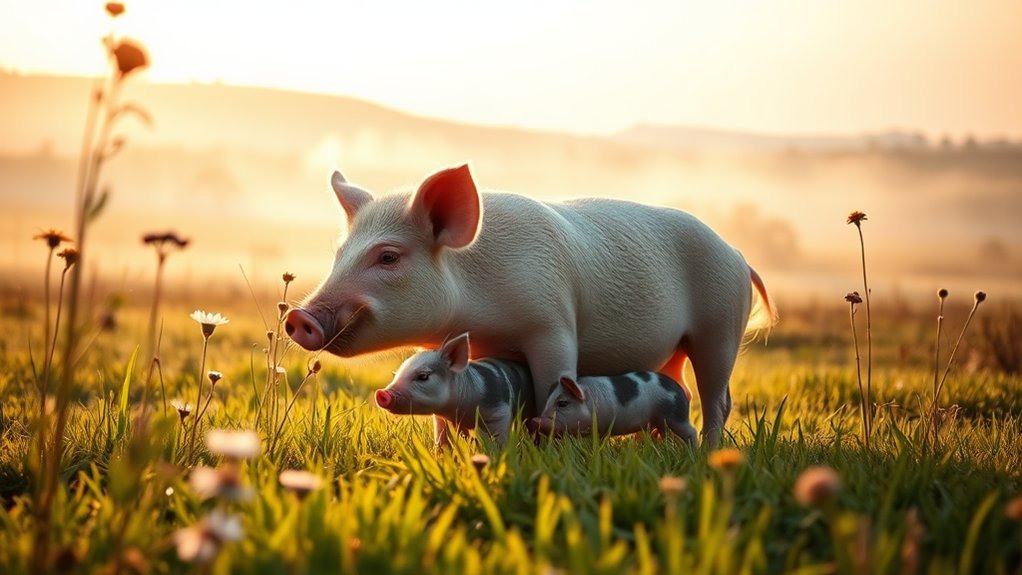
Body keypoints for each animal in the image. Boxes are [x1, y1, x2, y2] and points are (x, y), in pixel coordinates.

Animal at [375, 332, 536, 447]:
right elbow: (442, 439)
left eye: (423, 376)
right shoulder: (441, 418)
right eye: (398, 373)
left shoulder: (499, 411)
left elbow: (499, 441)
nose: (380, 393)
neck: (460, 412)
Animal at [529, 374, 698, 445]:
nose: (535, 420)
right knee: (665, 433)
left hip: (676, 416)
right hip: (661, 421)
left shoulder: (604, 426)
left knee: (692, 432)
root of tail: (679, 389)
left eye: (563, 403)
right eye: (547, 402)